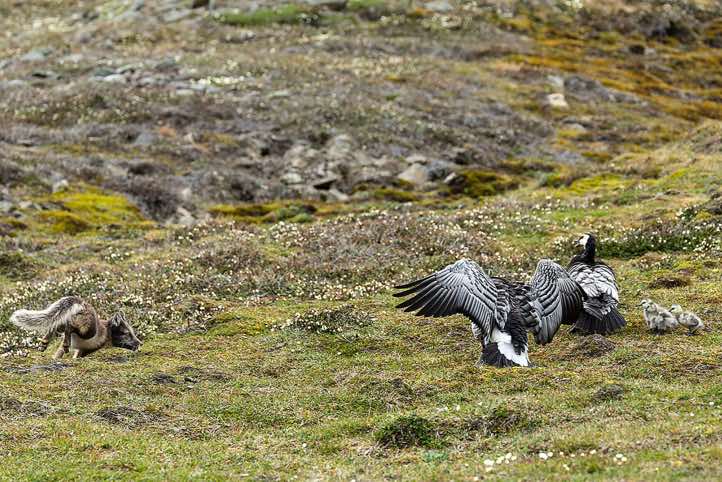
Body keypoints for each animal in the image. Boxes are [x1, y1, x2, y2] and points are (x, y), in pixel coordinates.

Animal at [10, 296, 141, 359]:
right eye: (127, 333)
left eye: (133, 332)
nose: (140, 343)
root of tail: (82, 302)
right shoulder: (85, 350)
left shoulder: (79, 350)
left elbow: (59, 354)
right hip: (87, 332)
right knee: (69, 328)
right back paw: (64, 344)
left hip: (62, 321)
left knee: (56, 325)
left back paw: (44, 342)